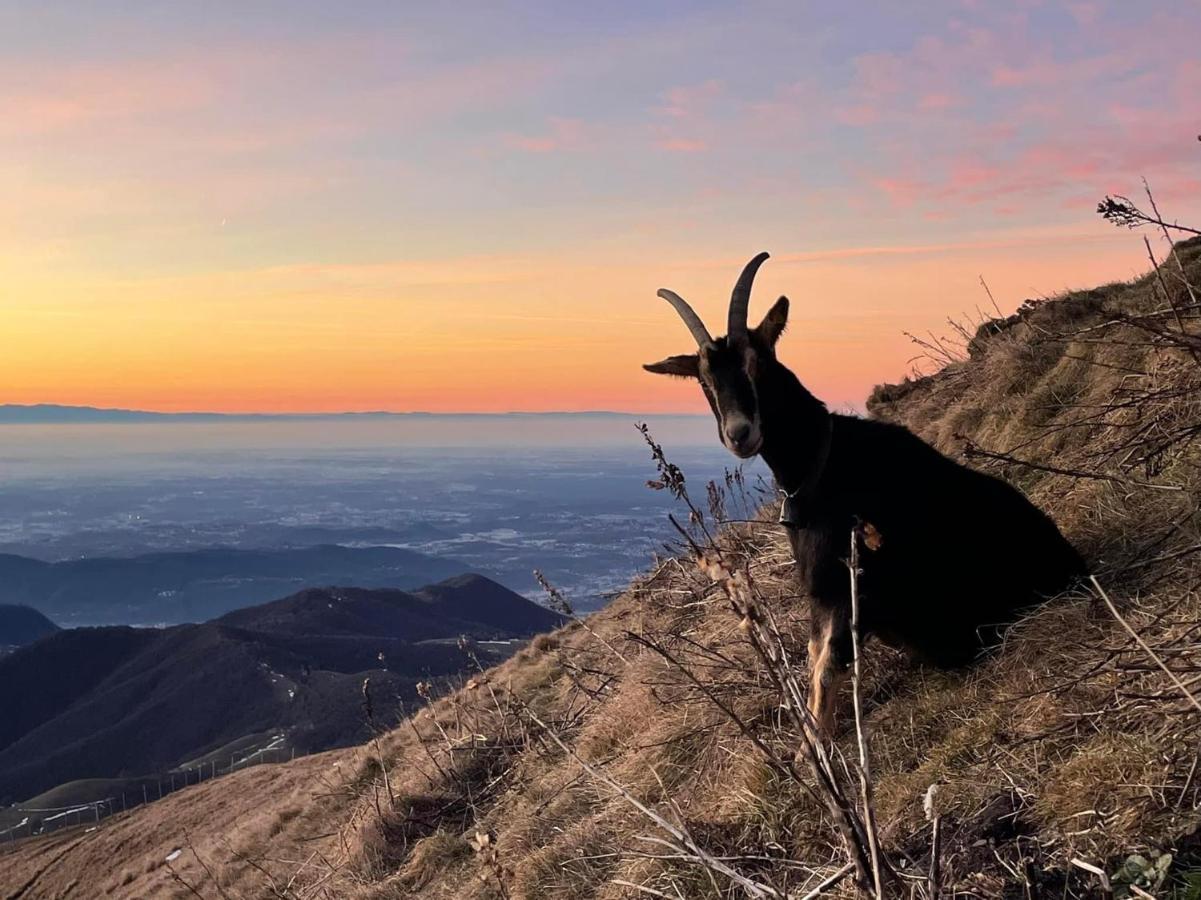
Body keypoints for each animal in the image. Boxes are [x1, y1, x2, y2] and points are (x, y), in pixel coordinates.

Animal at [648, 248, 1090, 735]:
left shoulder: (851, 585)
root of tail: (1071, 563)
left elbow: (827, 664)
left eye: (757, 362)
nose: (740, 434)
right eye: (705, 381)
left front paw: (815, 745)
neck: (822, 466)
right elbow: (814, 656)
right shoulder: (824, 594)